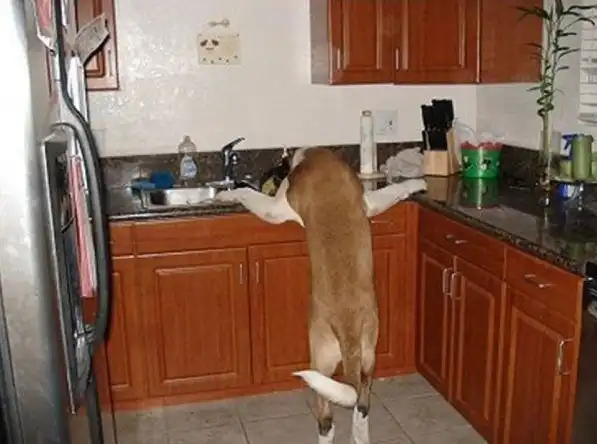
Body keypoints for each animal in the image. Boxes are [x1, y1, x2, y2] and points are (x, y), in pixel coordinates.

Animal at [215, 147, 426, 443]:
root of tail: (348, 331)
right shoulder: (368, 201)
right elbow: (392, 190)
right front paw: (417, 184)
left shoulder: (277, 208)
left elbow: (249, 196)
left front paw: (228, 194)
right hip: (369, 356)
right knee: (361, 404)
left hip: (320, 359)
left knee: (326, 419)